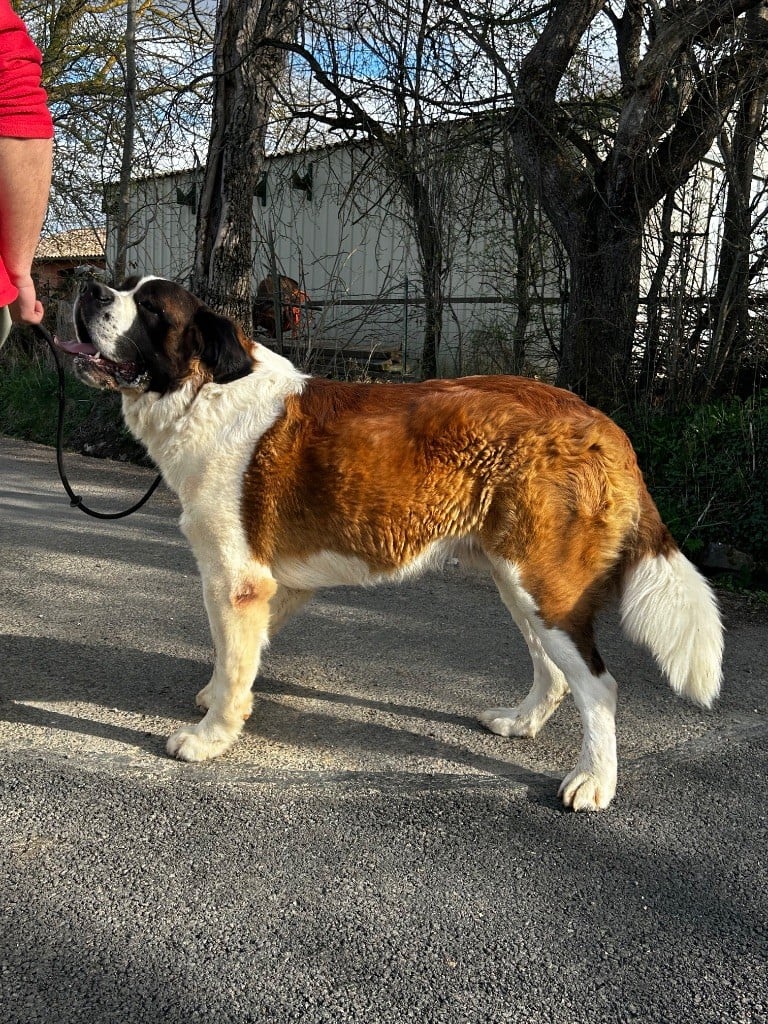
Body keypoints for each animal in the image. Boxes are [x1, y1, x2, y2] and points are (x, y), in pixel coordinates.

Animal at [58, 276, 720, 811]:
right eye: (123, 287)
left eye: (149, 308)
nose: (89, 287)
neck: (205, 391)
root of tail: (599, 420)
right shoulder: (273, 582)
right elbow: (237, 656)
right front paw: (221, 697)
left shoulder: (235, 579)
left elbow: (235, 654)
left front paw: (209, 738)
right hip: (520, 581)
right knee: (555, 672)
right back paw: (520, 722)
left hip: (545, 585)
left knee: (600, 687)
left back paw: (594, 782)